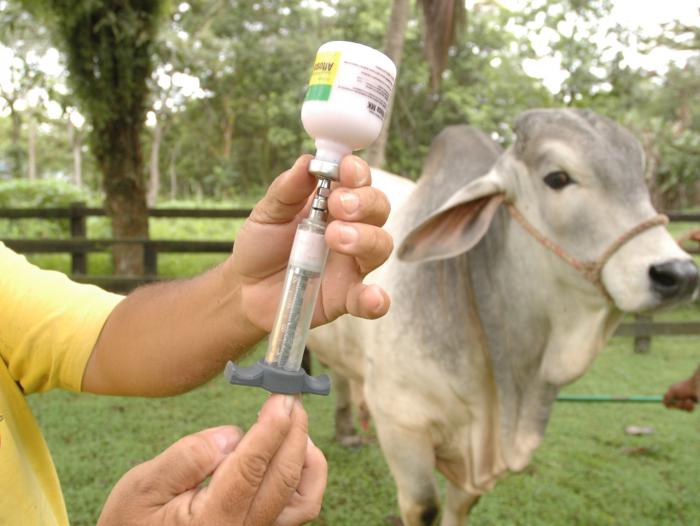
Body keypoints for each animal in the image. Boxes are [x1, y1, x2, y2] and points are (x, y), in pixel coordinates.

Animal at [308, 109, 700, 524]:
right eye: (557, 178)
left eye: (640, 177)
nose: (679, 274)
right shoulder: (402, 424)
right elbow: (425, 506)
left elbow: (460, 507)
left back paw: (348, 431)